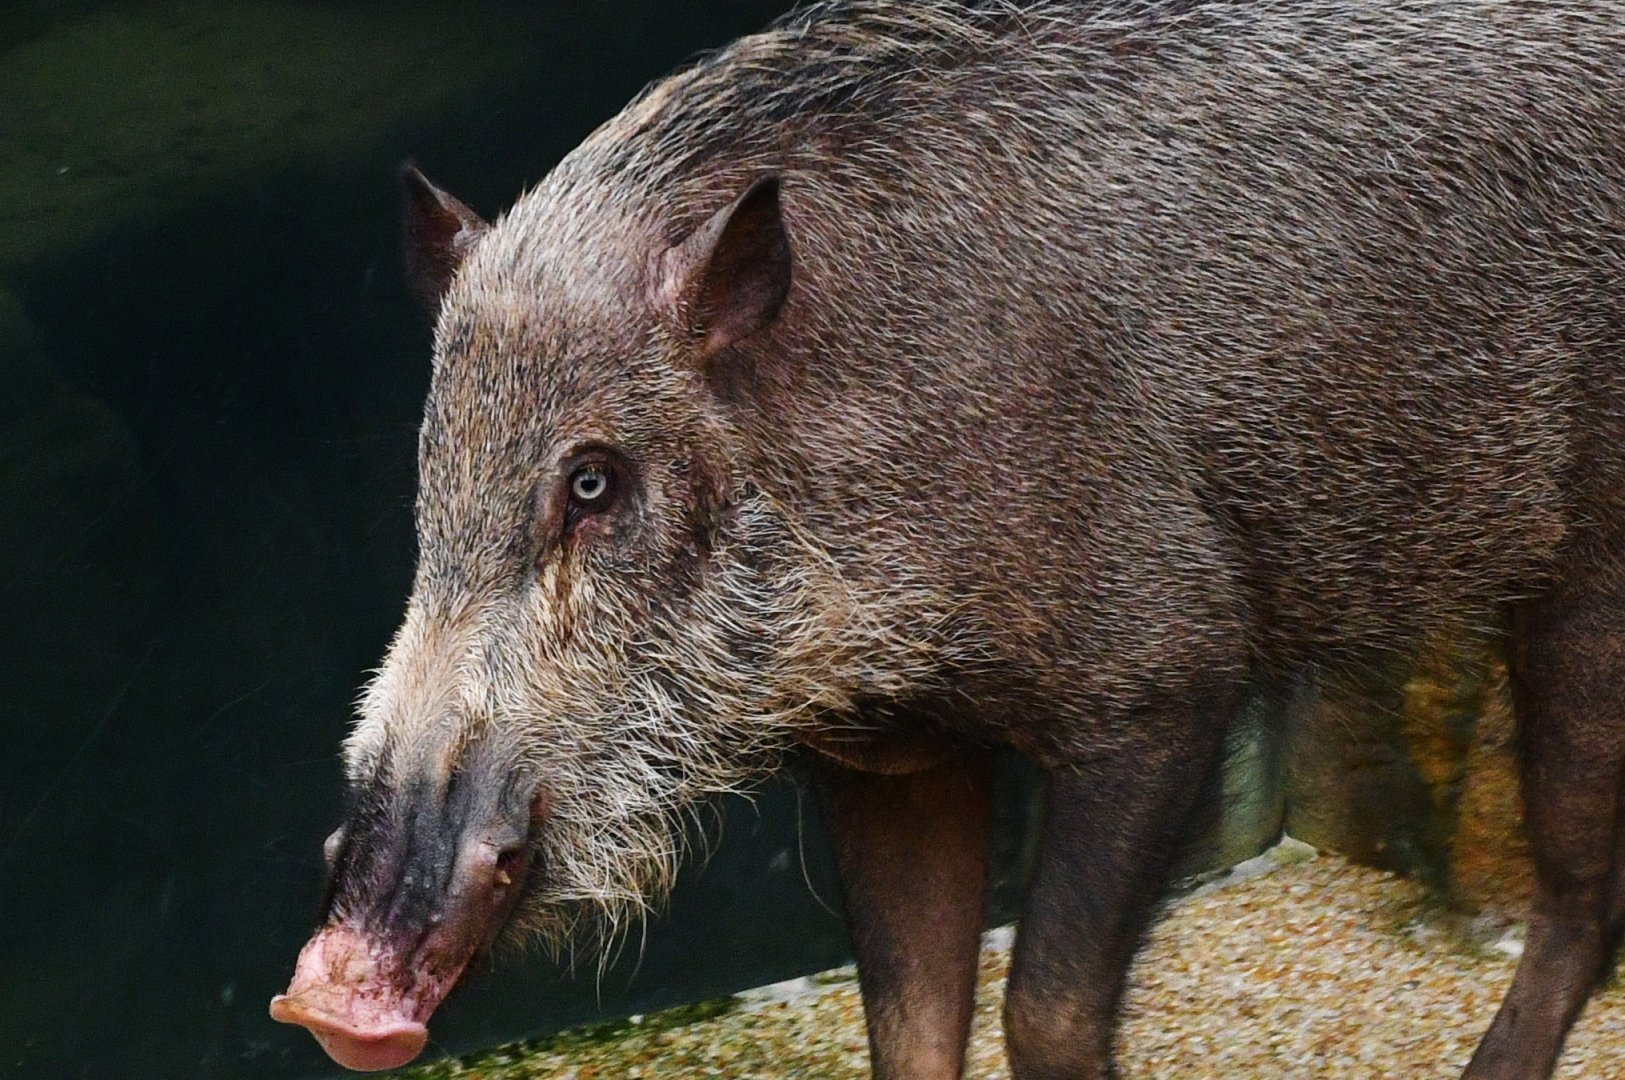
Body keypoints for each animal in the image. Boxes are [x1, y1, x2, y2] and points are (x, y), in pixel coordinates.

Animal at [270, 1, 1625, 1077]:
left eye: (593, 481)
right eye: (431, 478)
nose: (333, 1001)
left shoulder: (1163, 679)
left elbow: (1046, 1013)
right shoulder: (889, 761)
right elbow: (911, 1027)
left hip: (1589, 572)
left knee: (1575, 892)